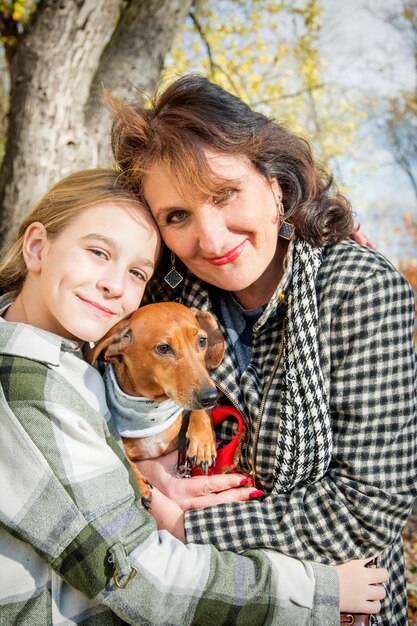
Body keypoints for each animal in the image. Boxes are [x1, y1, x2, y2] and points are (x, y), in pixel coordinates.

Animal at [85, 302, 224, 508]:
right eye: (163, 348)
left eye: (202, 341)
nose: (211, 397)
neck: (152, 411)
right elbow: (125, 458)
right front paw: (140, 485)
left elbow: (197, 412)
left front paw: (203, 443)